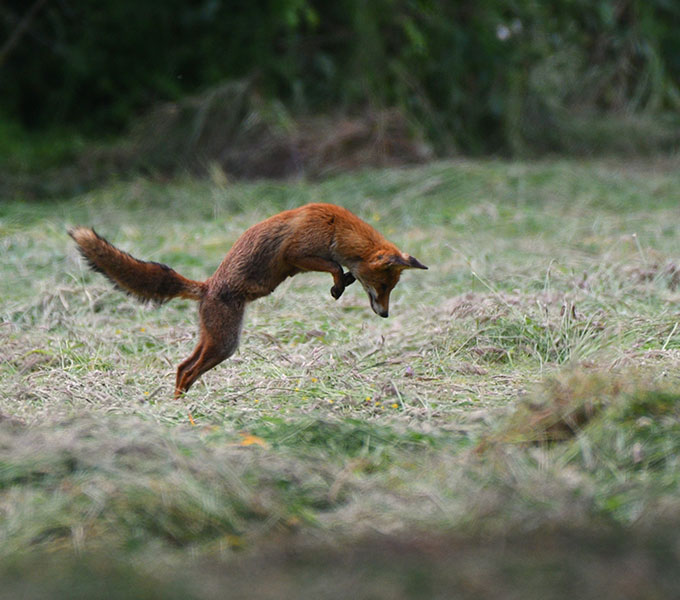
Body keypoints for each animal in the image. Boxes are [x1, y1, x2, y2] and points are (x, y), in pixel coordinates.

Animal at [69, 203, 427, 398]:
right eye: (384, 286)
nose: (384, 314)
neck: (336, 228)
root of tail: (206, 286)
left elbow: (341, 270)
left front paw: (341, 286)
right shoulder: (296, 253)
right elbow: (333, 266)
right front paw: (338, 284)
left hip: (215, 340)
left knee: (182, 366)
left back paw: (179, 404)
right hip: (225, 343)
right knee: (188, 370)